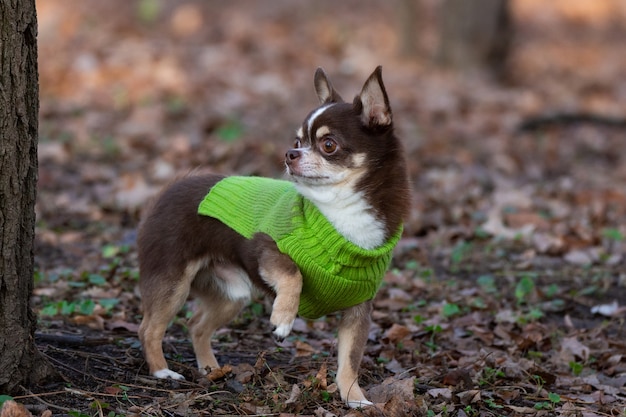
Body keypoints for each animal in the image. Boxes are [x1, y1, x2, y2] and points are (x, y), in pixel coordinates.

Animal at [136, 66, 410, 408]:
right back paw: (162, 372)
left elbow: (350, 362)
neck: (339, 210)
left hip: (232, 293)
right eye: (297, 140)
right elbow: (294, 273)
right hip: (173, 284)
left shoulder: (358, 310)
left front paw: (355, 399)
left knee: (196, 325)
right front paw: (283, 319)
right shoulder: (266, 250)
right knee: (148, 328)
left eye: (328, 144)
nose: (290, 153)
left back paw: (210, 369)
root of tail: (168, 189)